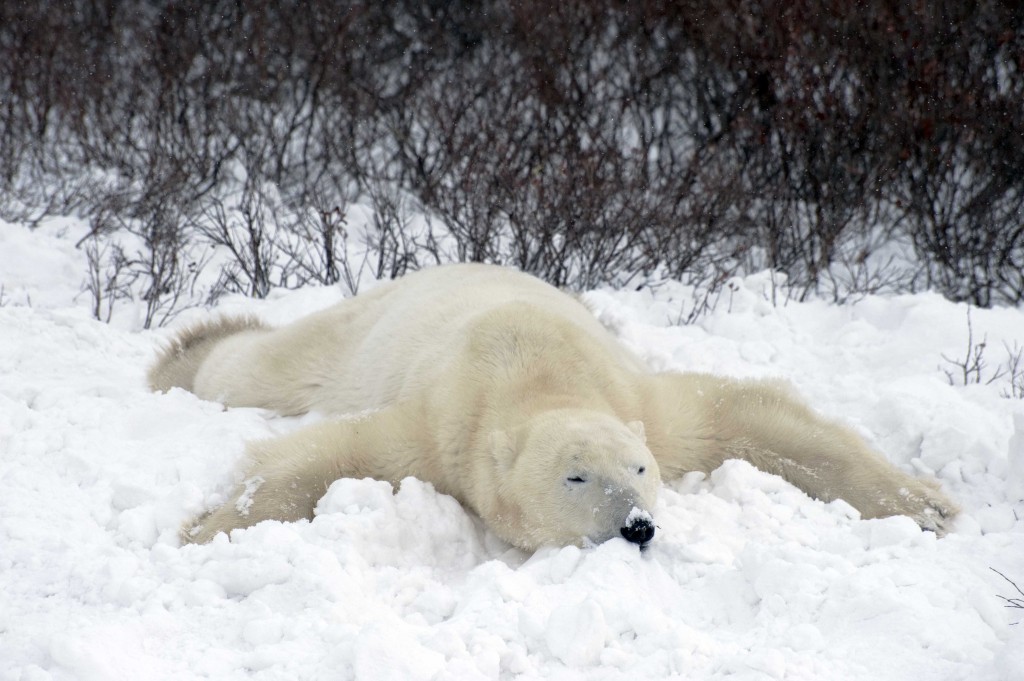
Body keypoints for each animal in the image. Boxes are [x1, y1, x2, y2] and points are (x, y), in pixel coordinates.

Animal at [148, 262, 954, 548]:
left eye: (639, 469)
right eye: (576, 476)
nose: (637, 526)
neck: (536, 371)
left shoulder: (645, 403)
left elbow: (751, 416)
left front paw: (926, 504)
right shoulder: (440, 426)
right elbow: (334, 453)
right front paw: (205, 527)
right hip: (355, 337)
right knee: (263, 368)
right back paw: (187, 349)